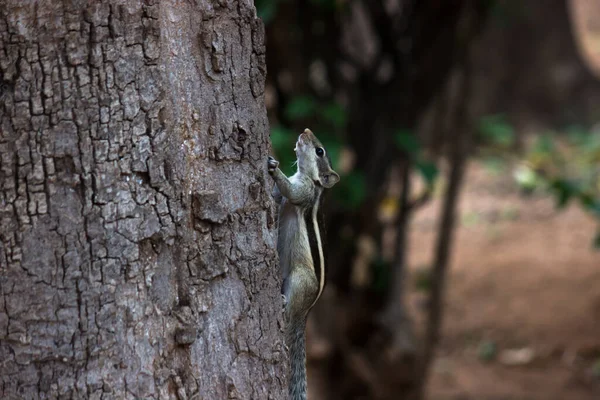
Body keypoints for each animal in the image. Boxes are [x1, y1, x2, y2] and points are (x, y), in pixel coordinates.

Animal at [268, 129, 340, 400]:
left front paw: (273, 168)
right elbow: (277, 196)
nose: (305, 131)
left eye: (320, 151)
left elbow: (290, 192)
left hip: (300, 279)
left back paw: (284, 303)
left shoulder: (305, 191)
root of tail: (306, 311)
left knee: (289, 312)